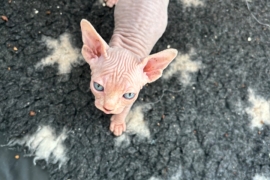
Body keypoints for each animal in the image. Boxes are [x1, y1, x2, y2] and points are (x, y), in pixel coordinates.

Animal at [80, 0, 177, 135]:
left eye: (129, 95)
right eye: (98, 86)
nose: (107, 108)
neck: (129, 47)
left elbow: (125, 108)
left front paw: (118, 122)